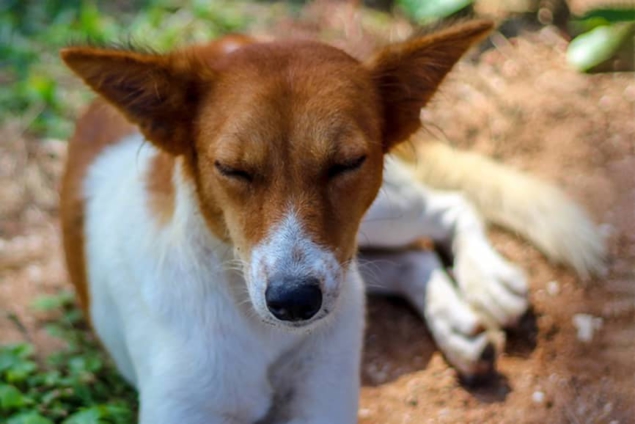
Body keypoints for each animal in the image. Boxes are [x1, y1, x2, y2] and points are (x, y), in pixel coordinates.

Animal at [59, 20, 608, 424]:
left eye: (346, 163)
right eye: (232, 169)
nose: (293, 302)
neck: (261, 331)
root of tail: (226, 39)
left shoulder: (322, 399)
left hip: (385, 212)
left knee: (447, 209)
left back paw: (488, 282)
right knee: (410, 259)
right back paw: (455, 323)